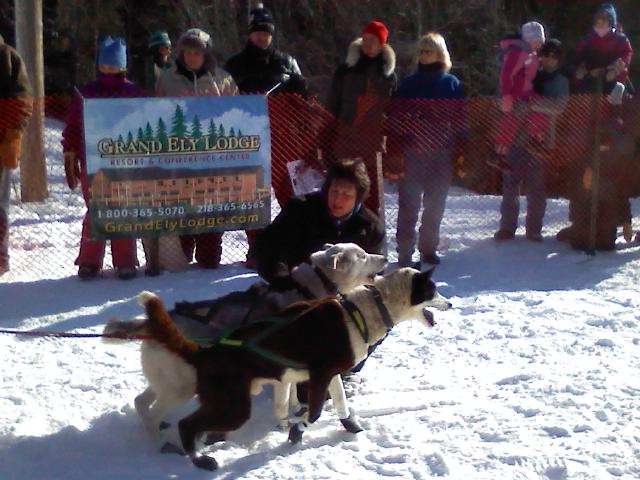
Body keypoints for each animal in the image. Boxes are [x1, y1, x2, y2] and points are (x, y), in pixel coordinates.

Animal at [138, 268, 452, 470]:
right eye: (433, 290)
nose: (450, 303)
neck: (362, 311)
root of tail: (205, 351)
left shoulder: (328, 375)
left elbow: (339, 404)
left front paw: (349, 425)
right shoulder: (319, 376)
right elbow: (313, 414)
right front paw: (297, 430)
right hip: (232, 407)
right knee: (185, 424)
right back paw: (199, 459)